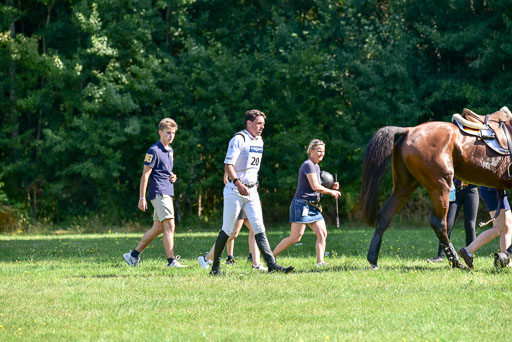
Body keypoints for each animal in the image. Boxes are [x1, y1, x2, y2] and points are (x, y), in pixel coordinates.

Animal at [358, 108, 512, 268]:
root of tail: (409, 130)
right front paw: (504, 257)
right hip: (441, 186)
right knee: (439, 223)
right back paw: (456, 261)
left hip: (403, 187)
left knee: (385, 216)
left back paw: (373, 260)